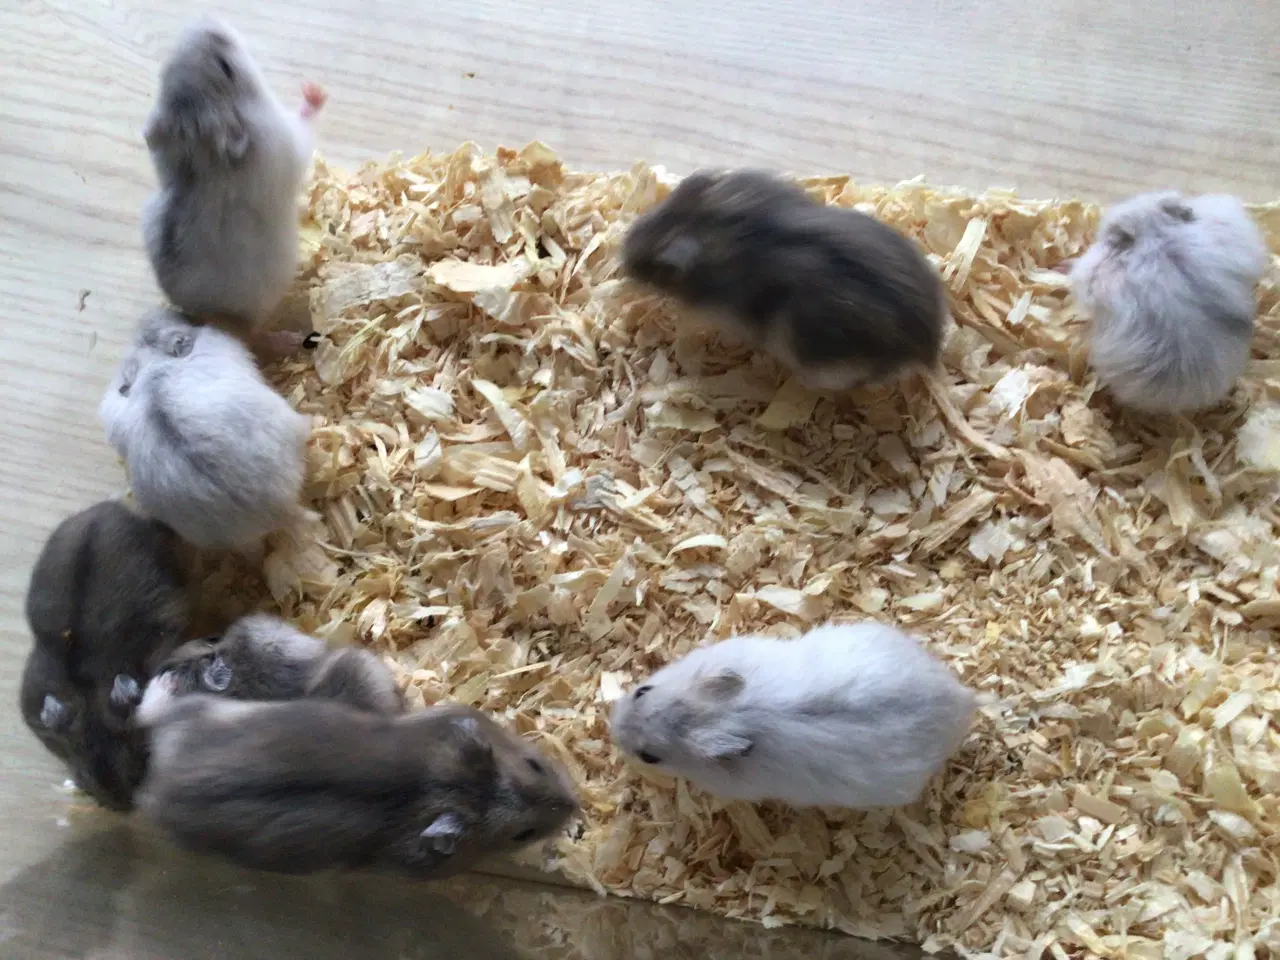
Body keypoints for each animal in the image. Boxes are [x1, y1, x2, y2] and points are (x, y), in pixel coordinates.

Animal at [141, 16, 326, 355]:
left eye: (164, 71)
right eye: (226, 67)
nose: (206, 20)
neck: (200, 150)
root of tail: (212, 320)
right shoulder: (286, 140)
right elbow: (304, 127)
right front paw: (314, 91)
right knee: (255, 335)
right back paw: (289, 340)